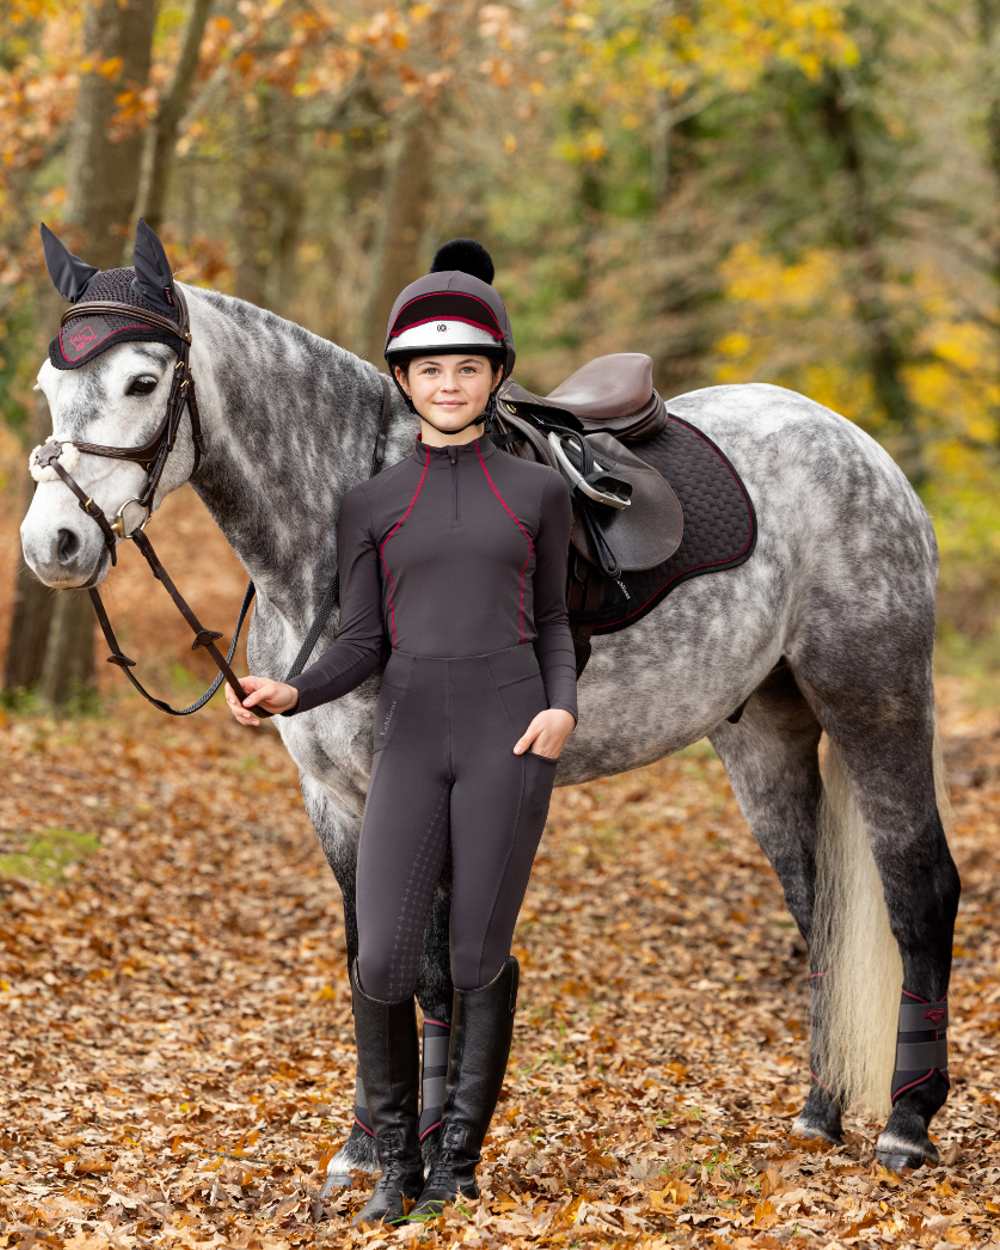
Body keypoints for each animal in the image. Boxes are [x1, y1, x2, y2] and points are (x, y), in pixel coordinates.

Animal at [21, 266, 960, 1180]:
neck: (337, 531)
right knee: (819, 908)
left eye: (143, 381)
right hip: (763, 736)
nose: (52, 544)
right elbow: (370, 960)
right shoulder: (335, 798)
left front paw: (430, 1158)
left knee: (920, 889)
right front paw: (366, 1150)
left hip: (876, 702)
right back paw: (820, 1113)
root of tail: (858, 446)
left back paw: (906, 1126)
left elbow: (434, 973)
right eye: (48, 386)